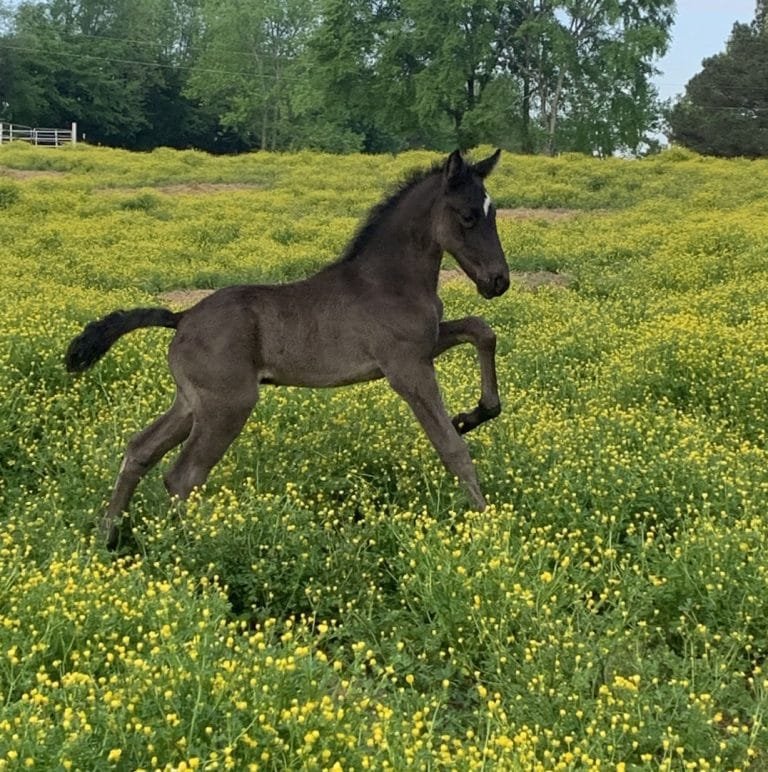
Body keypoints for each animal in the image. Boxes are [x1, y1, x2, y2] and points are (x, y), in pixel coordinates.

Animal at [65, 149, 510, 548]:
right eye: (467, 215)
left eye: (493, 214)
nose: (499, 281)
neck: (389, 280)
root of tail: (182, 316)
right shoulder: (406, 368)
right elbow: (452, 449)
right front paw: (487, 527)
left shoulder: (426, 345)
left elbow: (482, 330)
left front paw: (472, 415)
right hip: (228, 405)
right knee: (183, 476)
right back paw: (196, 549)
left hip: (191, 402)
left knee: (140, 450)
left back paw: (108, 538)